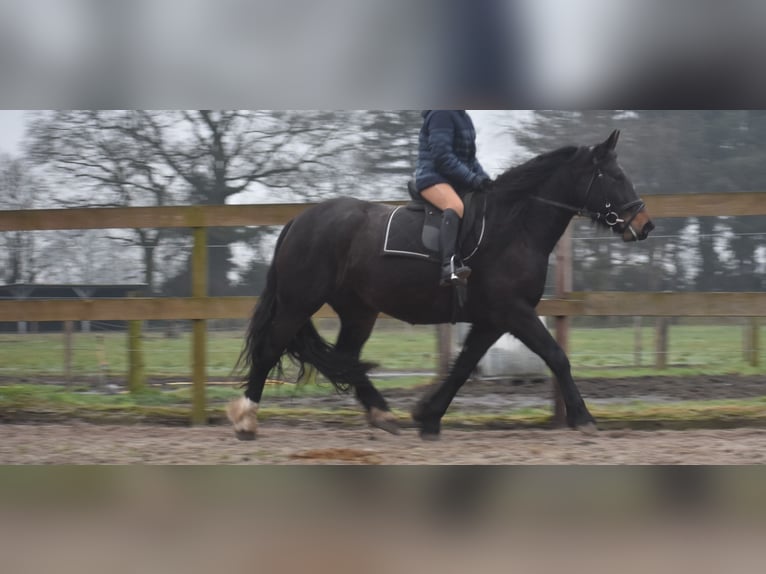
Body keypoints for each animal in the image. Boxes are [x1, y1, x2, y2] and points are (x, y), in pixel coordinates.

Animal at [226, 132, 656, 440]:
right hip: (299, 302)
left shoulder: (492, 319)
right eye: (615, 176)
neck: (514, 226)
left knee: (346, 357)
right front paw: (583, 418)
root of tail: (299, 220)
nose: (645, 224)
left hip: (358, 310)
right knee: (270, 349)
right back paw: (246, 419)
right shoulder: (513, 311)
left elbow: (463, 366)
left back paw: (383, 414)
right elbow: (556, 356)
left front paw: (427, 417)